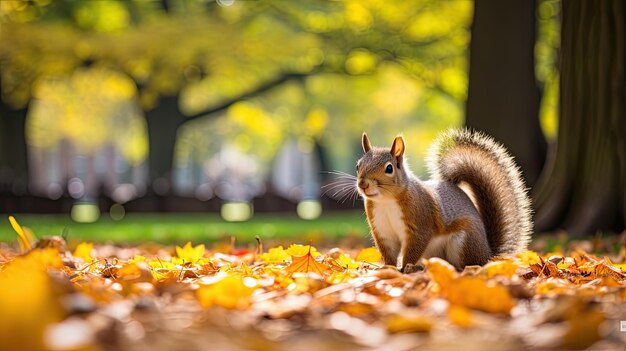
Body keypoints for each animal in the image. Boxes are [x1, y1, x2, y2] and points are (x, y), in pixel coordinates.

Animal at [356, 129, 532, 272]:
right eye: (358, 165)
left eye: (389, 168)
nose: (363, 184)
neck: (386, 201)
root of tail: (488, 254)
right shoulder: (382, 230)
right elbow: (389, 252)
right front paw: (388, 268)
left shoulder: (420, 223)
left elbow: (414, 247)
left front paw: (405, 268)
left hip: (463, 242)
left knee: (468, 265)